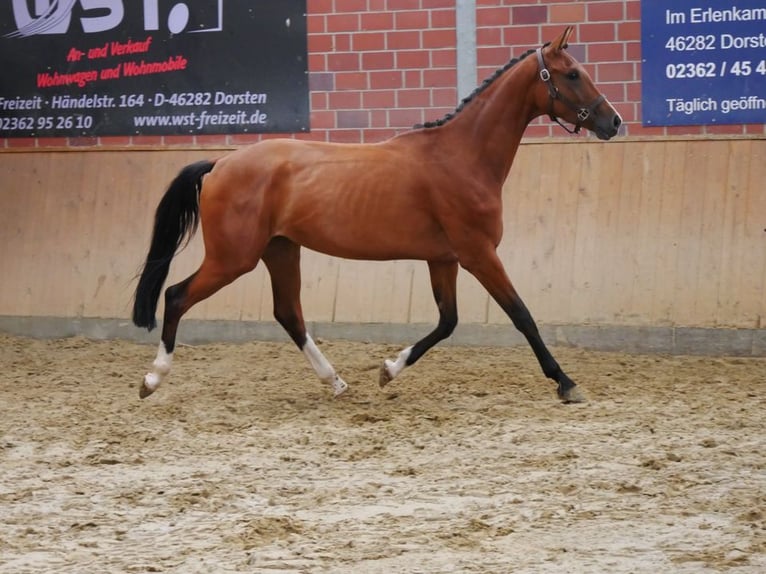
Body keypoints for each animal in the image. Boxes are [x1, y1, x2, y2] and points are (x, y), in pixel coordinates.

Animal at [132, 27, 624, 402]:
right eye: (572, 73)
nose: (614, 122)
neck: (462, 156)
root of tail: (219, 164)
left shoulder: (443, 259)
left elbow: (447, 322)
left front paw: (388, 370)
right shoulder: (478, 253)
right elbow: (521, 315)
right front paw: (566, 383)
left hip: (280, 250)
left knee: (289, 313)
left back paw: (336, 382)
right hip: (234, 258)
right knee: (176, 296)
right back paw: (152, 379)